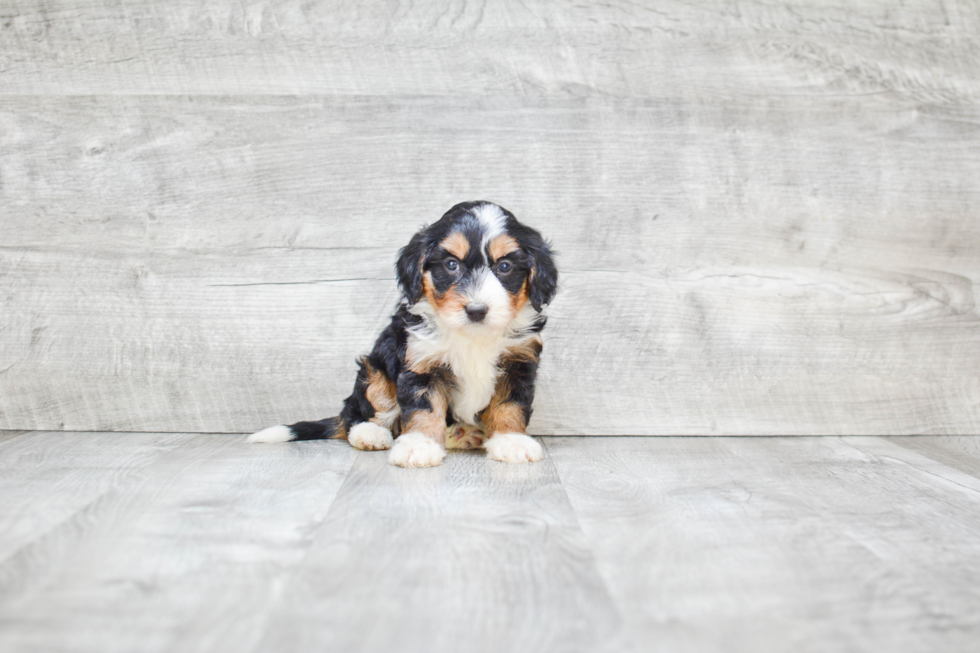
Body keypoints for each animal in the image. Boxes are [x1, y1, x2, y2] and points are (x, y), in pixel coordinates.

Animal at [249, 201, 556, 466]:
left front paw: (511, 441)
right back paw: (371, 433)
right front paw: (418, 445)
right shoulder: (421, 363)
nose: (476, 310)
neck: (472, 336)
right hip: (374, 370)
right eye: (451, 265)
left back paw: (461, 435)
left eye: (504, 267)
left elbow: (510, 405)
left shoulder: (519, 362)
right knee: (359, 413)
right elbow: (423, 408)